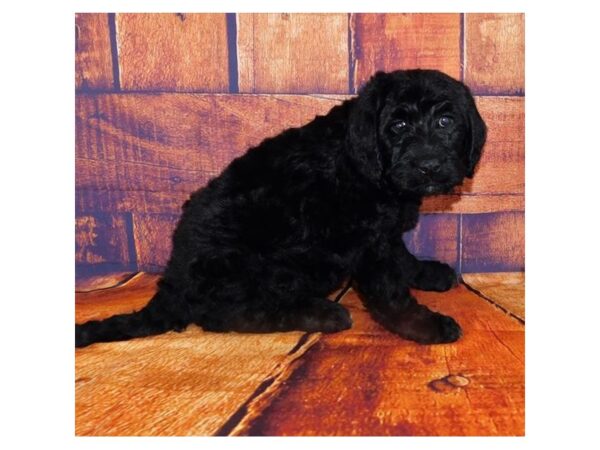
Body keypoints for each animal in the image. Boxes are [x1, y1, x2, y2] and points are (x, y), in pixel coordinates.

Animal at [76, 68, 488, 346]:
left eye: (446, 121)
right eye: (398, 126)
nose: (428, 165)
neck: (369, 166)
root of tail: (172, 284)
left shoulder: (383, 235)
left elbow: (403, 260)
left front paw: (427, 273)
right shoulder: (367, 242)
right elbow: (390, 293)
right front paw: (424, 326)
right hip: (260, 264)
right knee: (230, 312)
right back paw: (323, 313)